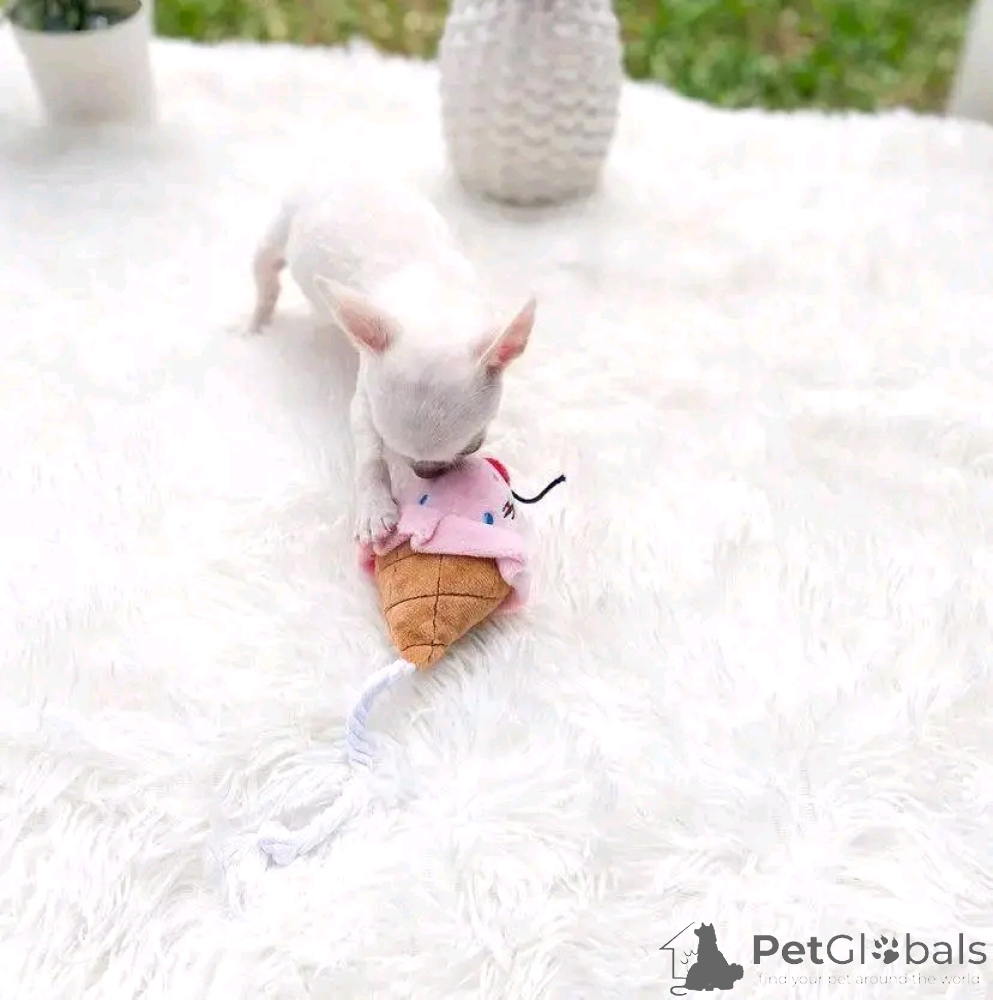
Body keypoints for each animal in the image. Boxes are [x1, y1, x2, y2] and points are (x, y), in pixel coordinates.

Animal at [250, 175, 537, 546]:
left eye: (475, 444)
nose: (424, 473)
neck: (433, 298)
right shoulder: (365, 397)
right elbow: (370, 457)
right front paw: (374, 508)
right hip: (278, 230)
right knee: (265, 273)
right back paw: (256, 323)